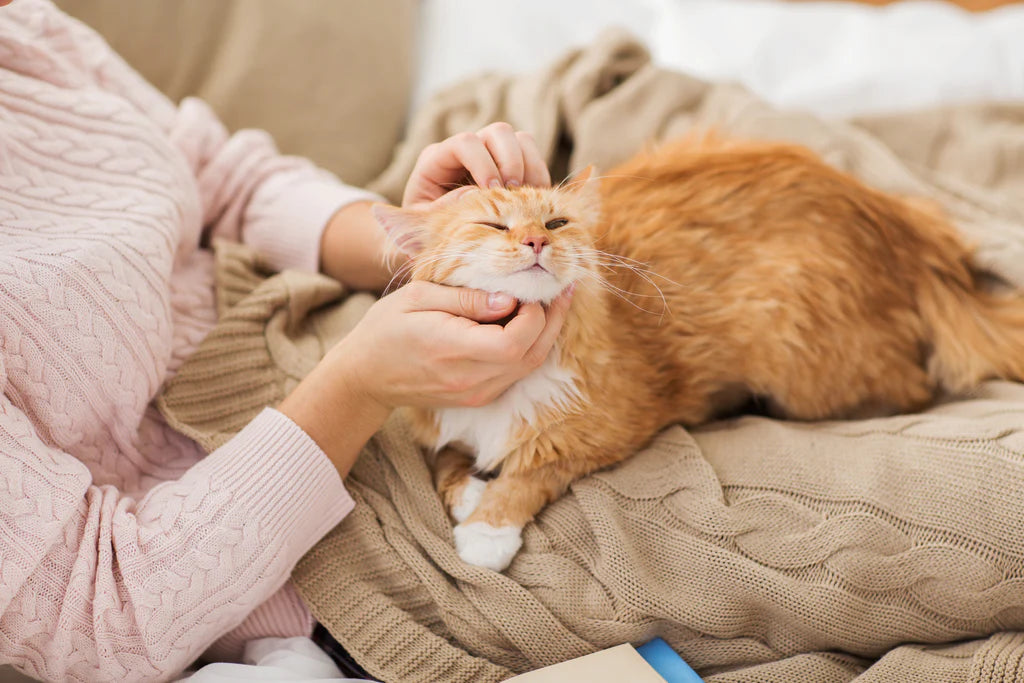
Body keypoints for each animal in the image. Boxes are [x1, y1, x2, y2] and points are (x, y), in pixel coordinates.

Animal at [372, 135, 1024, 573]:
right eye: (492, 225)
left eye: (555, 222)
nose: (535, 241)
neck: (508, 378)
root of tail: (902, 229)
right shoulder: (431, 414)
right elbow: (445, 459)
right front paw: (469, 492)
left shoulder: (609, 431)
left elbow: (533, 472)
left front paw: (488, 529)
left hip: (803, 367)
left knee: (914, 387)